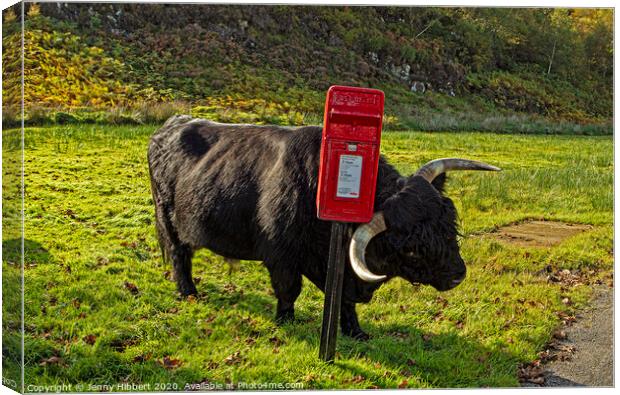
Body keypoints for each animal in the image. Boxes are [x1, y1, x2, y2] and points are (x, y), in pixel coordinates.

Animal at [147, 115, 498, 340]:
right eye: (411, 250)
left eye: (448, 225)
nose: (457, 274)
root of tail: (171, 125)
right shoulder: (281, 256)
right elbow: (289, 290)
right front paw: (286, 322)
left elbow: (344, 300)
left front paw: (356, 332)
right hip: (168, 219)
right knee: (179, 256)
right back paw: (189, 293)